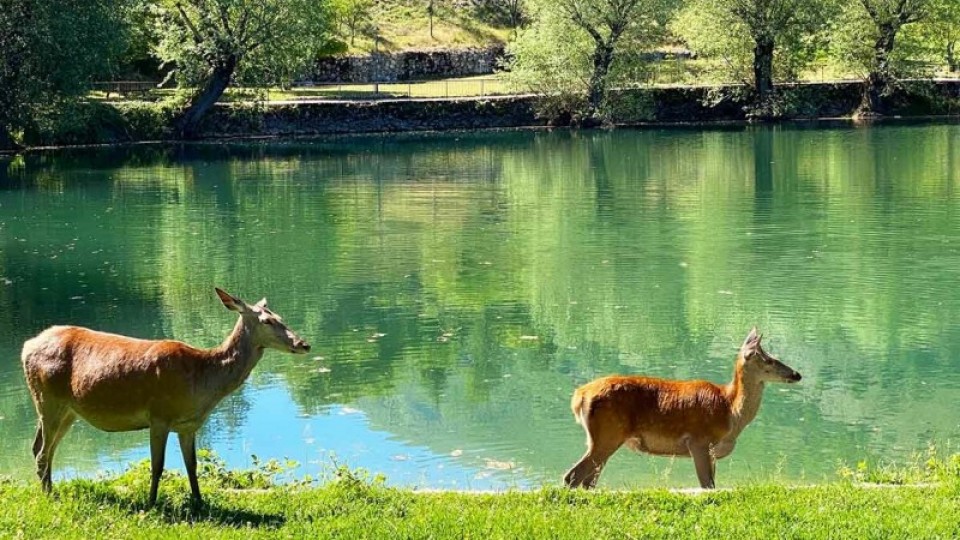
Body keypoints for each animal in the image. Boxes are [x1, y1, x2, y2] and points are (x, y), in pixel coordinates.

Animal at [21, 288, 312, 504]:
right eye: (267, 321)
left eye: (280, 316)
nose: (304, 344)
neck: (201, 383)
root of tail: (26, 347)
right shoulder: (159, 415)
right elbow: (157, 465)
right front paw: (151, 504)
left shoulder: (188, 425)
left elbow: (192, 465)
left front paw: (199, 502)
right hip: (48, 399)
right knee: (42, 452)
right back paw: (49, 496)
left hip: (68, 410)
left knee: (42, 448)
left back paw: (50, 489)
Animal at [564, 326, 804, 492]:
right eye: (770, 360)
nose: (796, 374)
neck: (731, 411)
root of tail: (579, 395)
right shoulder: (698, 441)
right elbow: (707, 486)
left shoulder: (710, 451)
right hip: (608, 434)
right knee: (573, 476)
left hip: (602, 438)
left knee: (588, 480)